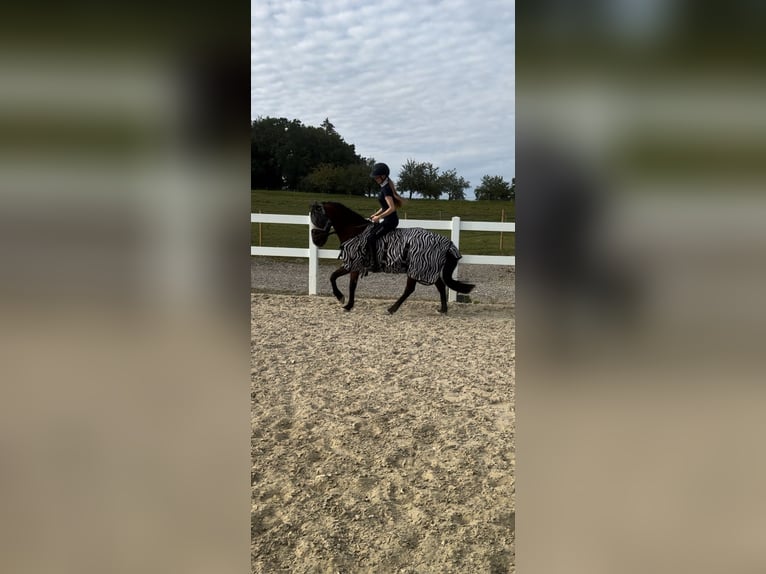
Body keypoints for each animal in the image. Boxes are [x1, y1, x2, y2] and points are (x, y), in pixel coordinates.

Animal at [310, 202, 476, 316]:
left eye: (317, 217)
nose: (316, 240)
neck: (355, 231)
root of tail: (447, 242)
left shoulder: (354, 264)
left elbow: (346, 283)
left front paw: (344, 301)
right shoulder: (352, 265)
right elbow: (338, 279)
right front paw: (345, 301)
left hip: (418, 269)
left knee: (410, 289)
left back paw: (391, 309)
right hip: (427, 269)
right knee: (440, 286)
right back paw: (442, 309)